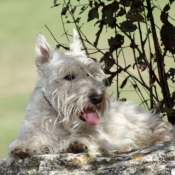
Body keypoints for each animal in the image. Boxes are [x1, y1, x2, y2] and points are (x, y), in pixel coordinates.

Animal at [7, 29, 175, 163]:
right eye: (69, 77)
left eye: (92, 74)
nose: (97, 98)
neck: (62, 120)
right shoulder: (37, 130)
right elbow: (35, 139)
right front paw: (23, 148)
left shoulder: (104, 138)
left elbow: (91, 139)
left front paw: (76, 143)